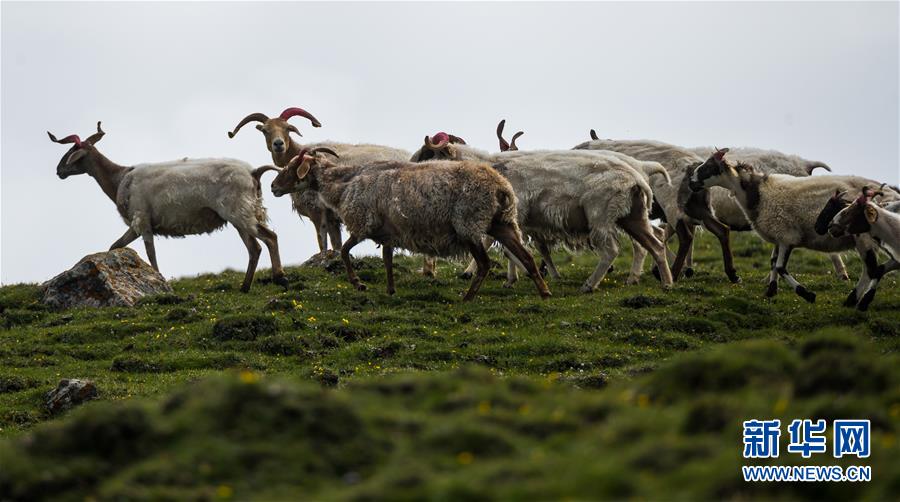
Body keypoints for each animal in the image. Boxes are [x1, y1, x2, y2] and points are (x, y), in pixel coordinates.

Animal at [47, 121, 284, 292]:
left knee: (270, 238)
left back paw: (280, 278)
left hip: (239, 211)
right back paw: (245, 287)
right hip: (240, 216)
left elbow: (150, 253)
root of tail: (254, 172)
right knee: (255, 248)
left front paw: (159, 279)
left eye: (72, 152)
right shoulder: (137, 225)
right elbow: (115, 246)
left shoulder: (142, 219)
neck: (119, 178)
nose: (58, 171)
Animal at [260, 147, 548, 300]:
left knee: (485, 264)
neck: (342, 185)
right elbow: (387, 261)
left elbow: (344, 252)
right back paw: (544, 292)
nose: (273, 187)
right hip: (503, 223)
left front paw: (358, 284)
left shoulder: (363, 224)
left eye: (293, 167)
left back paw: (467, 297)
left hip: (469, 224)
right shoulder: (387, 233)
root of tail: (502, 188)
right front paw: (390, 290)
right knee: (527, 257)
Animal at [410, 131, 676, 292]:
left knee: (612, 250)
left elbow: (510, 249)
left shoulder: (514, 216)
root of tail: (638, 175)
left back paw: (590, 285)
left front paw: (519, 276)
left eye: (428, 153)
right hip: (633, 217)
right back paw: (666, 283)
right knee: (655, 245)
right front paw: (513, 279)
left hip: (600, 215)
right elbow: (510, 249)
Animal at [572, 131, 740, 284]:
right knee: (721, 230)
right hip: (696, 206)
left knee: (686, 237)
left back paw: (673, 275)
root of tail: (693, 168)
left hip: (672, 206)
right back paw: (732, 274)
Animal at [688, 149, 900, 304]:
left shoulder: (786, 236)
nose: (691, 183)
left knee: (871, 269)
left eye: (708, 167)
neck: (757, 194)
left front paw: (806, 294)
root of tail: (891, 196)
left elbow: (781, 267)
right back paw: (856, 298)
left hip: (864, 238)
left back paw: (857, 299)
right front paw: (771, 291)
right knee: (880, 266)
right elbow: (773, 262)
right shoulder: (778, 236)